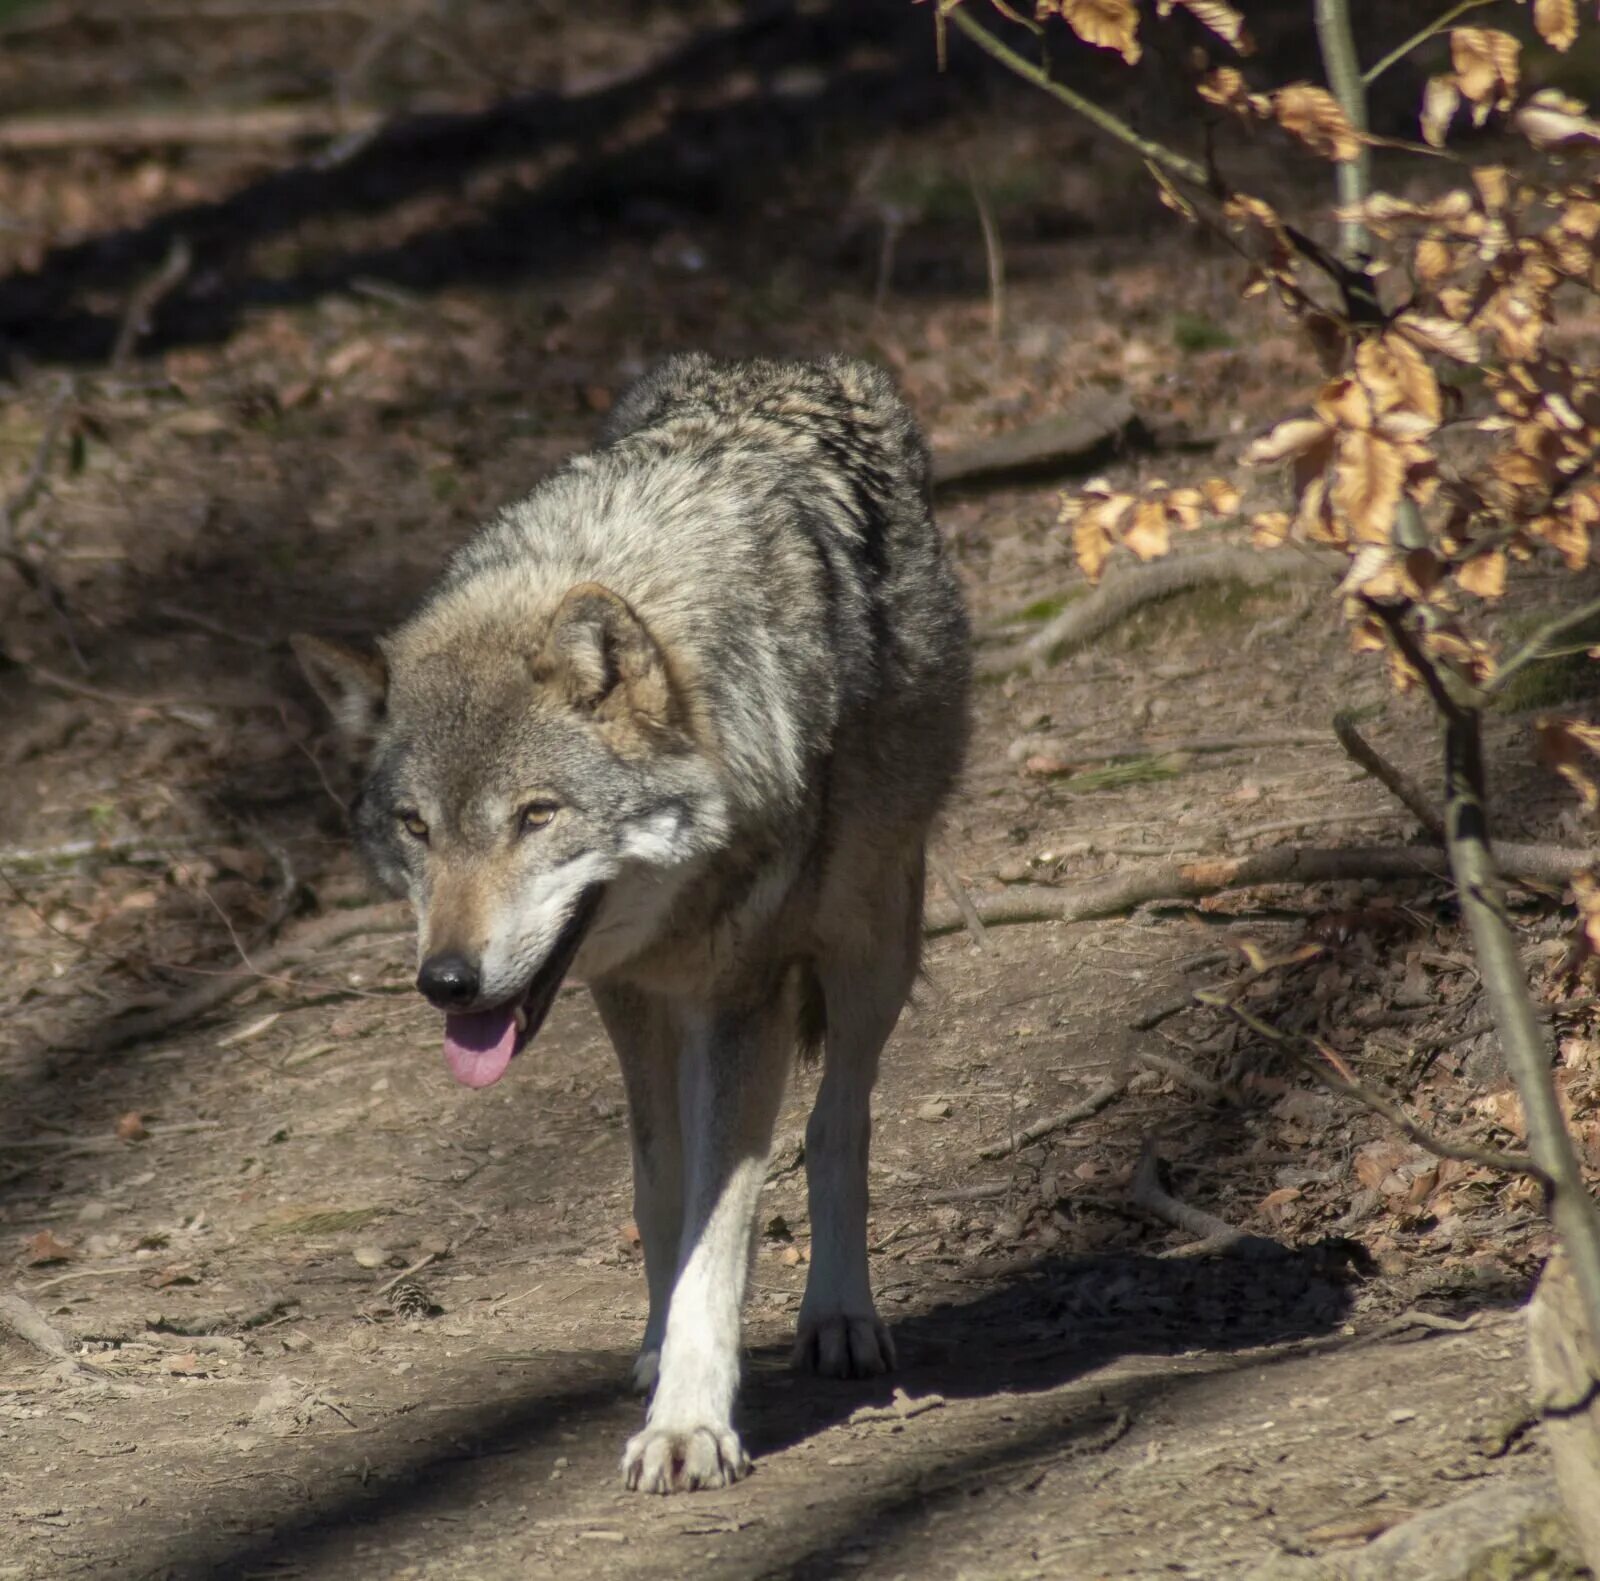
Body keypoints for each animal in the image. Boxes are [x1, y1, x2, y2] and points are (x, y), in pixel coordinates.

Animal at [294, 355, 966, 1491]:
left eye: (535, 815)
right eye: (416, 827)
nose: (447, 983)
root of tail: (784, 360)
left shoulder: (744, 998)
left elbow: (719, 1226)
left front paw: (689, 1423)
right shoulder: (629, 992)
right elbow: (662, 1192)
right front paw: (662, 1357)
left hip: (870, 939)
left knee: (839, 1122)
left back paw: (838, 1314)